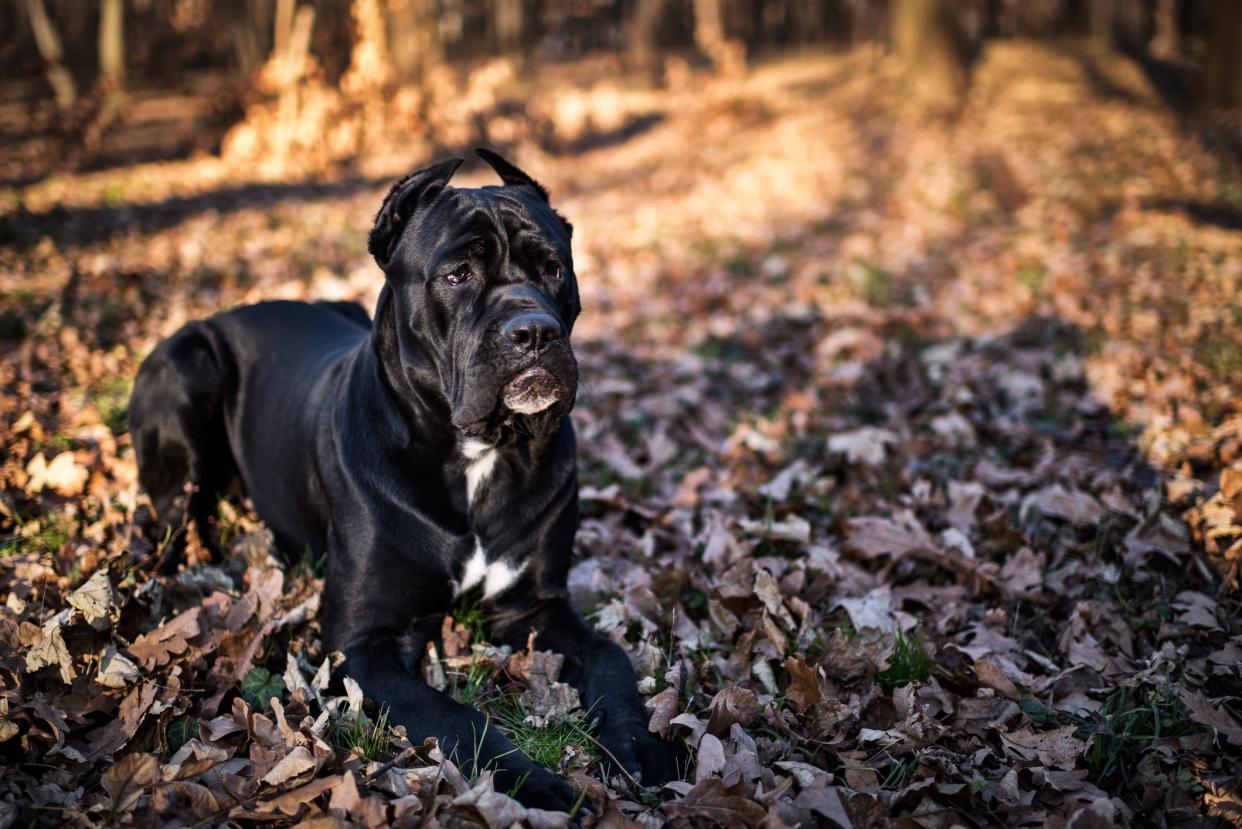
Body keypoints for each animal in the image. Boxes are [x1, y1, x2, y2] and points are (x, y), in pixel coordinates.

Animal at [126, 149, 680, 810]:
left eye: (553, 269)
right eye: (457, 275)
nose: (535, 331)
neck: (477, 452)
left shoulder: (537, 607)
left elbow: (610, 656)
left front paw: (642, 746)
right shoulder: (365, 641)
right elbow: (455, 716)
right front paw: (537, 783)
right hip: (189, 371)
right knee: (169, 518)